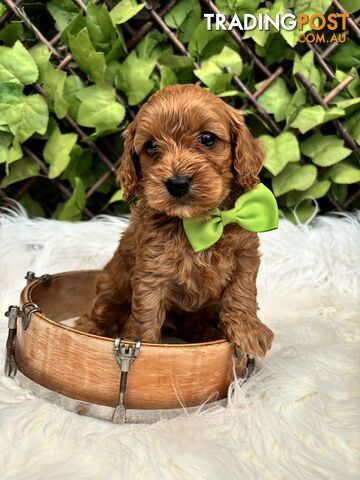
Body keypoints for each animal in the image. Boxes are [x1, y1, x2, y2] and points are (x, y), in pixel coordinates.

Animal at [76, 83, 272, 356]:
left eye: (207, 139)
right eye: (150, 147)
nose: (177, 183)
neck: (198, 223)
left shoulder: (245, 255)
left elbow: (242, 292)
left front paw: (248, 331)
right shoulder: (152, 269)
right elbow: (146, 315)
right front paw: (146, 349)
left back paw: (207, 332)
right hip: (112, 282)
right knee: (104, 307)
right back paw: (89, 328)